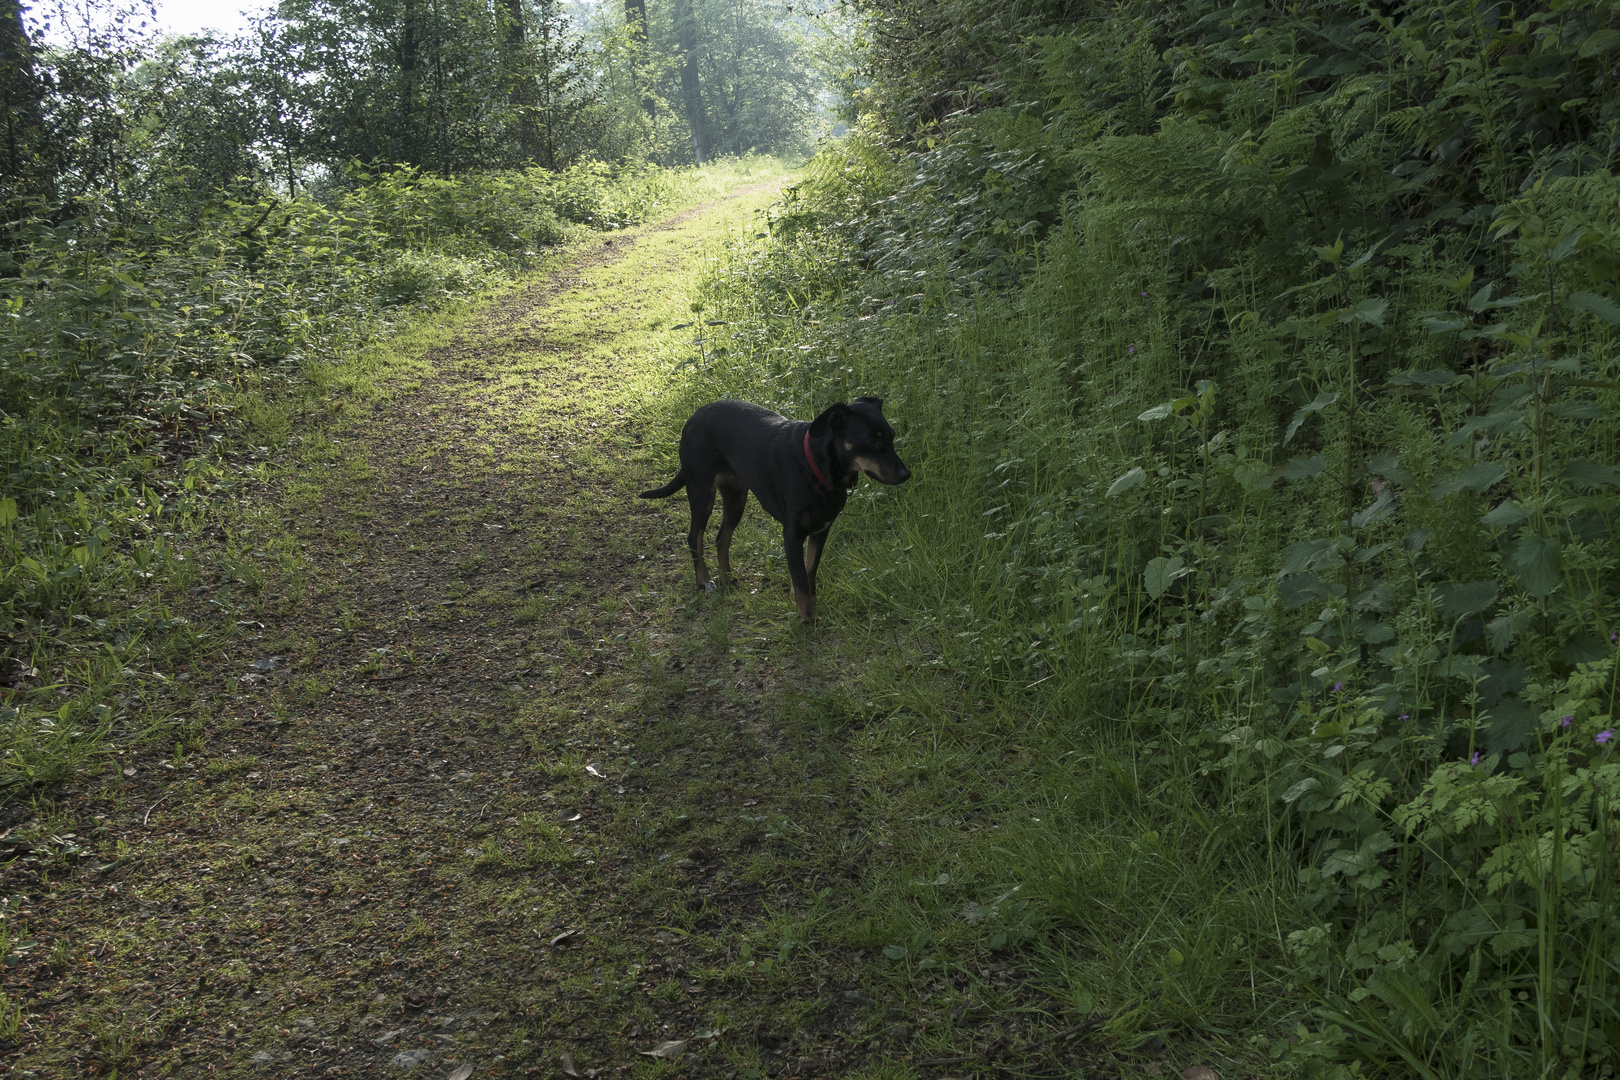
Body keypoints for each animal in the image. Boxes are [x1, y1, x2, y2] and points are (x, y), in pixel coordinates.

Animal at [635, 399, 913, 621]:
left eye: (891, 435)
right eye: (871, 440)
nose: (905, 474)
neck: (818, 469)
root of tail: (693, 418)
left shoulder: (820, 530)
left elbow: (808, 572)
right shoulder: (791, 535)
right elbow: (801, 581)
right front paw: (807, 619)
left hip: (736, 497)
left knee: (722, 537)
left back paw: (727, 578)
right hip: (702, 492)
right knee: (695, 537)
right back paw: (704, 581)